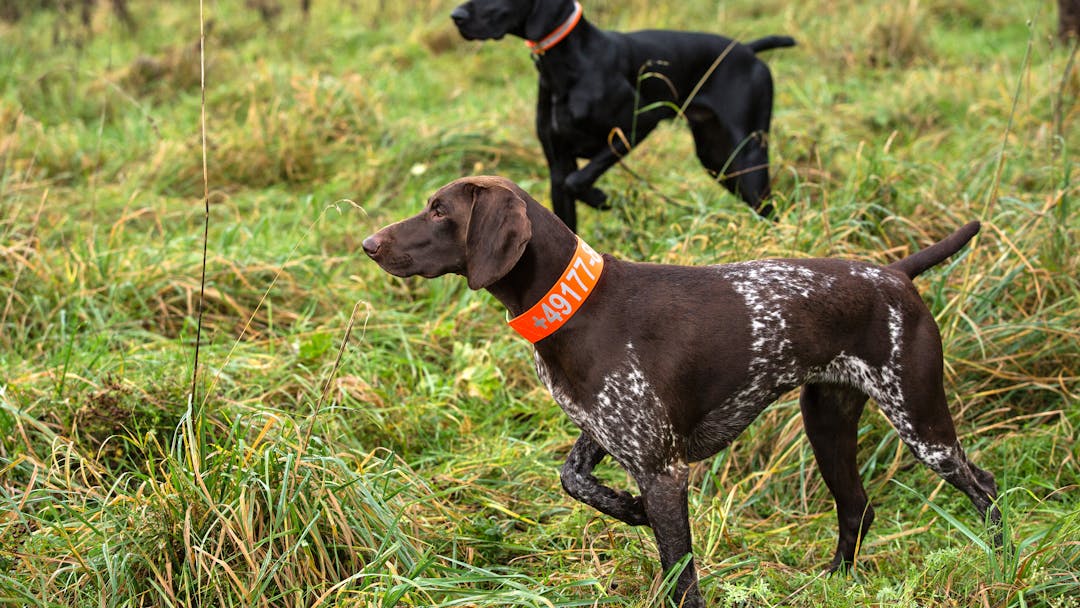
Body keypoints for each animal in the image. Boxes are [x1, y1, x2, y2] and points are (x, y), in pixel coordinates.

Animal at [365, 176, 1002, 608]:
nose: (369, 243)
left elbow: (681, 578)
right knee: (857, 507)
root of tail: (894, 273)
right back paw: (836, 583)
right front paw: (629, 510)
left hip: (920, 423)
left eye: (439, 210)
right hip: (828, 421)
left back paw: (1002, 565)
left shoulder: (663, 469)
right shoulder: (609, 433)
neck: (577, 306)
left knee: (985, 488)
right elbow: (572, 479)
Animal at [447, 0, 794, 233]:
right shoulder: (558, 163)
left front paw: (601, 198)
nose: (456, 16)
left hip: (747, 153)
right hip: (719, 160)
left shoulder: (639, 124)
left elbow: (578, 180)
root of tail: (747, 49)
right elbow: (567, 195)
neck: (568, 63)